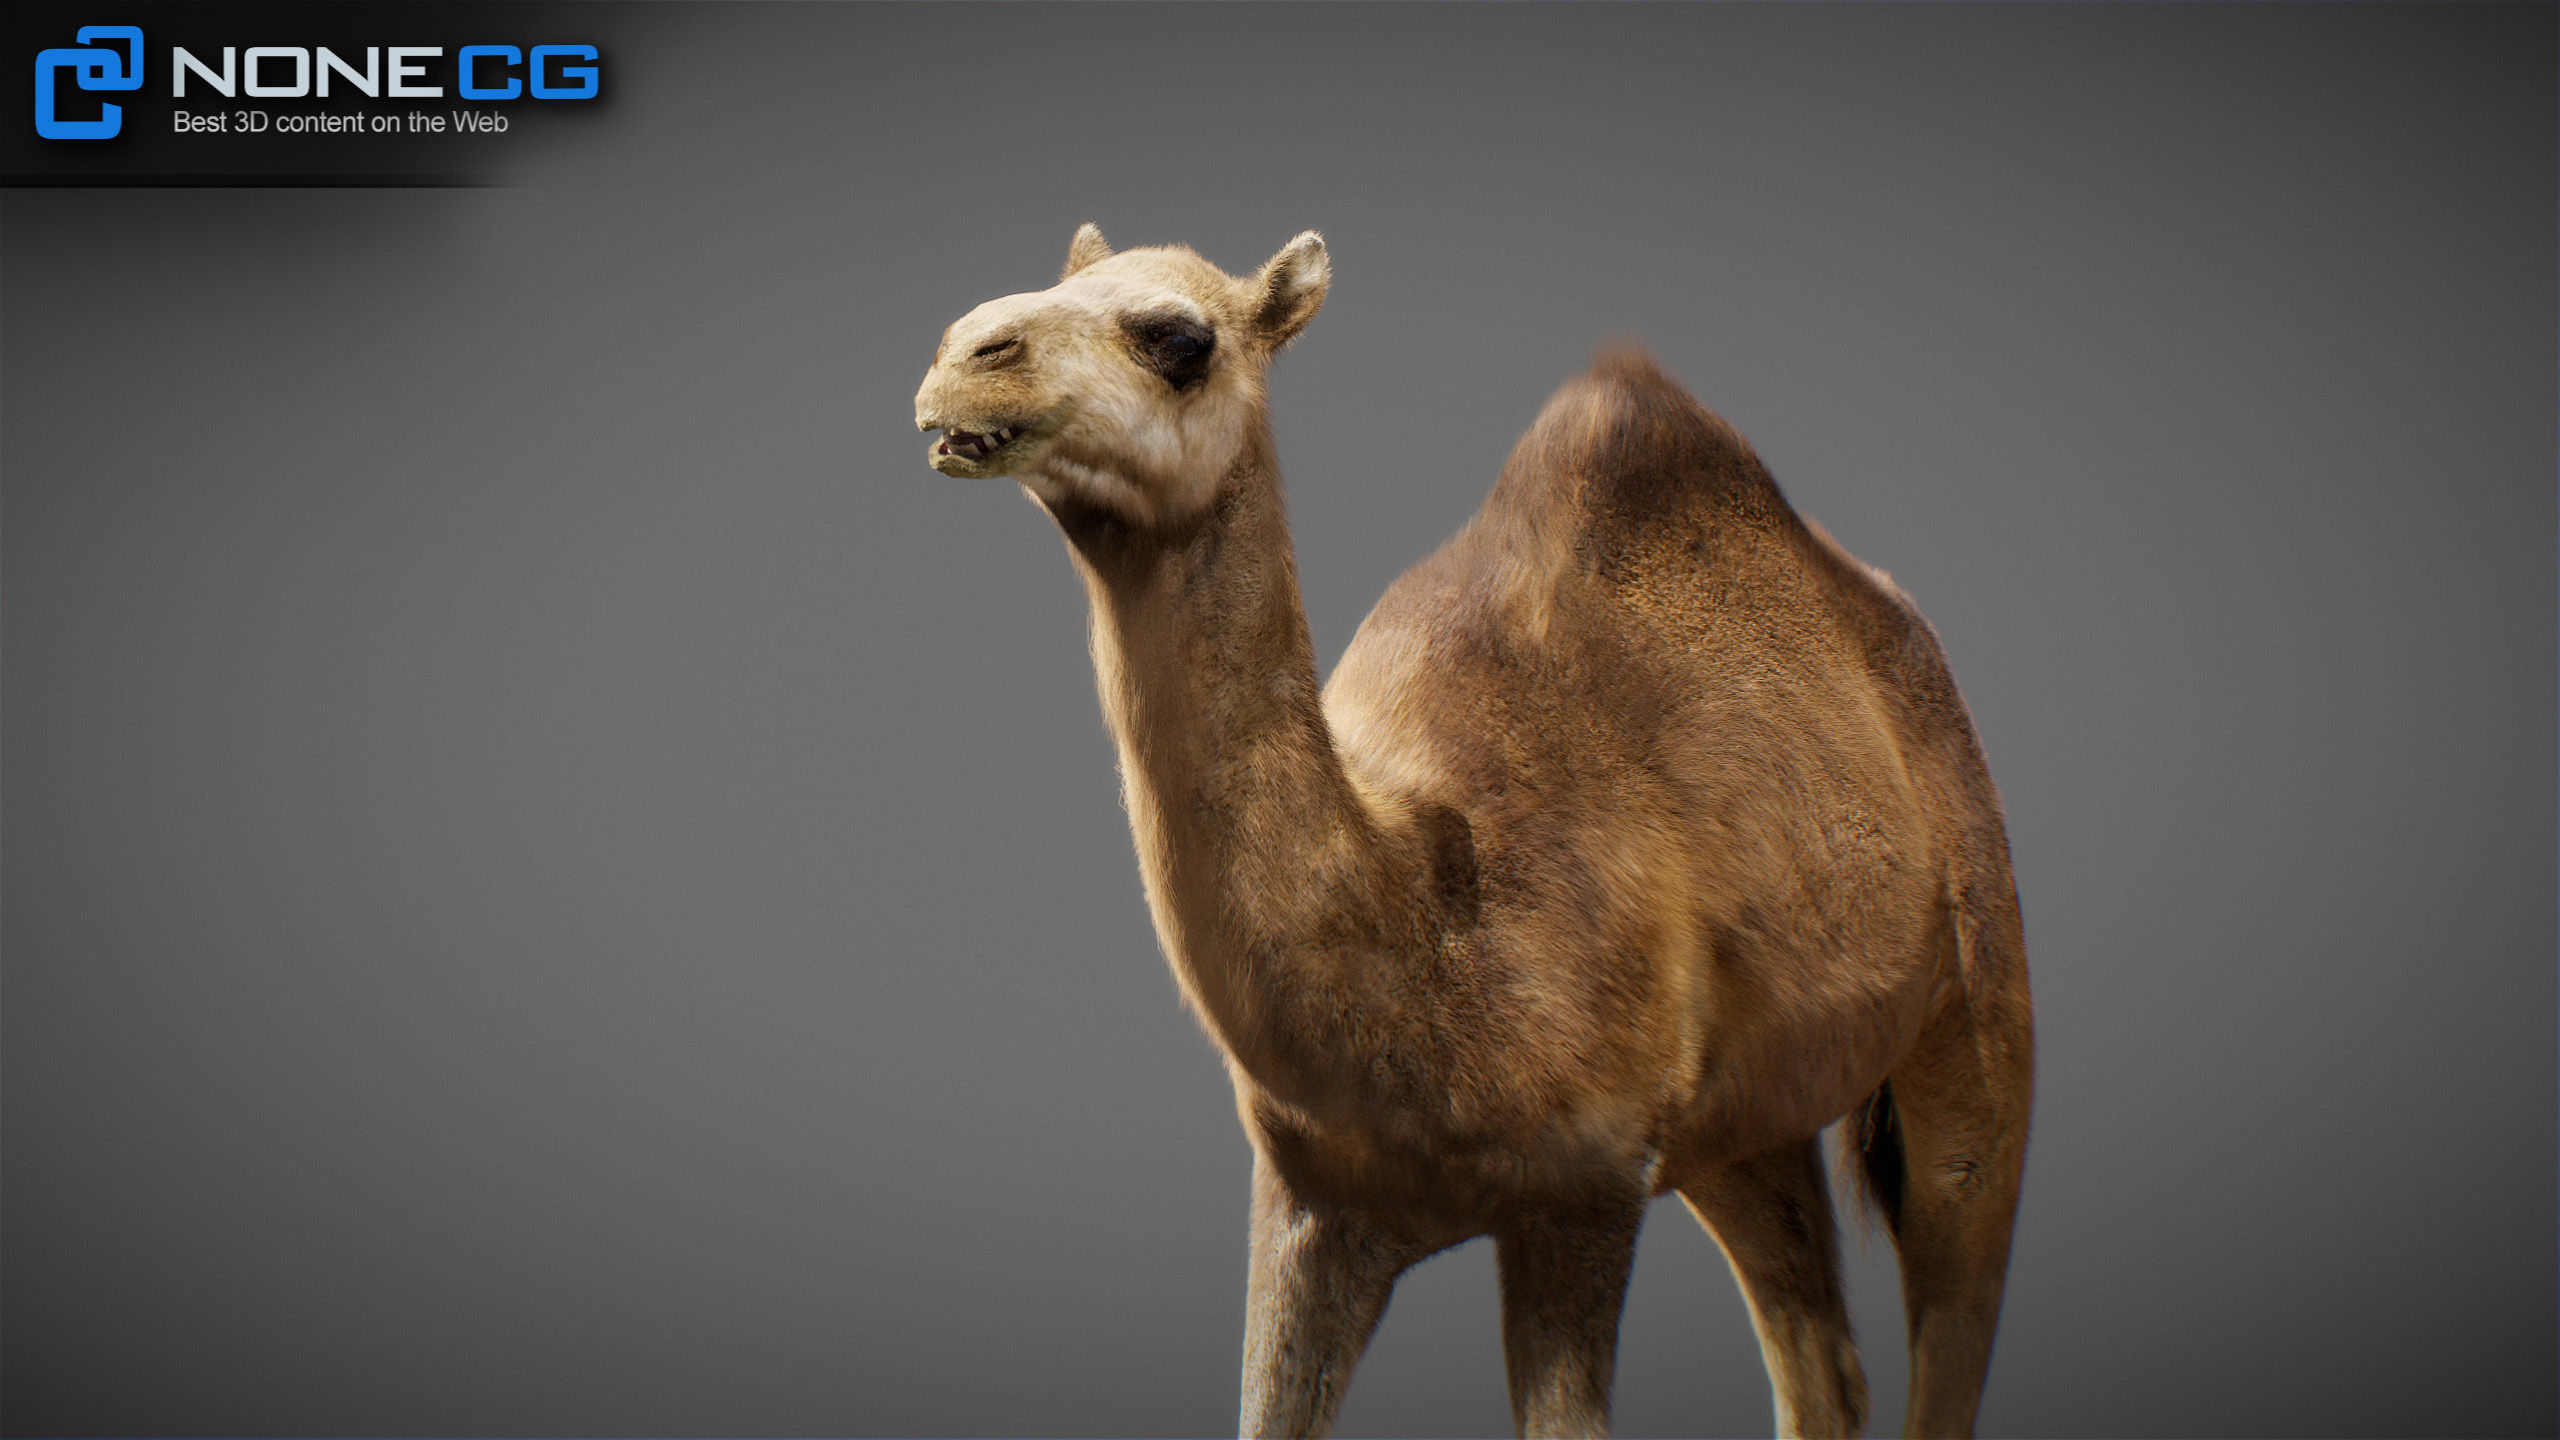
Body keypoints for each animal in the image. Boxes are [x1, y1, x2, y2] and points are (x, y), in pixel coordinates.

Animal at [912, 227, 2033, 1440]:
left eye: (1180, 338)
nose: (964, 354)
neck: (1427, 913)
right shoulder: (1313, 1202)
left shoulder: (1586, 1190)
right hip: (1742, 1122)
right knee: (1822, 1357)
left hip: (1975, 999)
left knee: (1954, 1303)